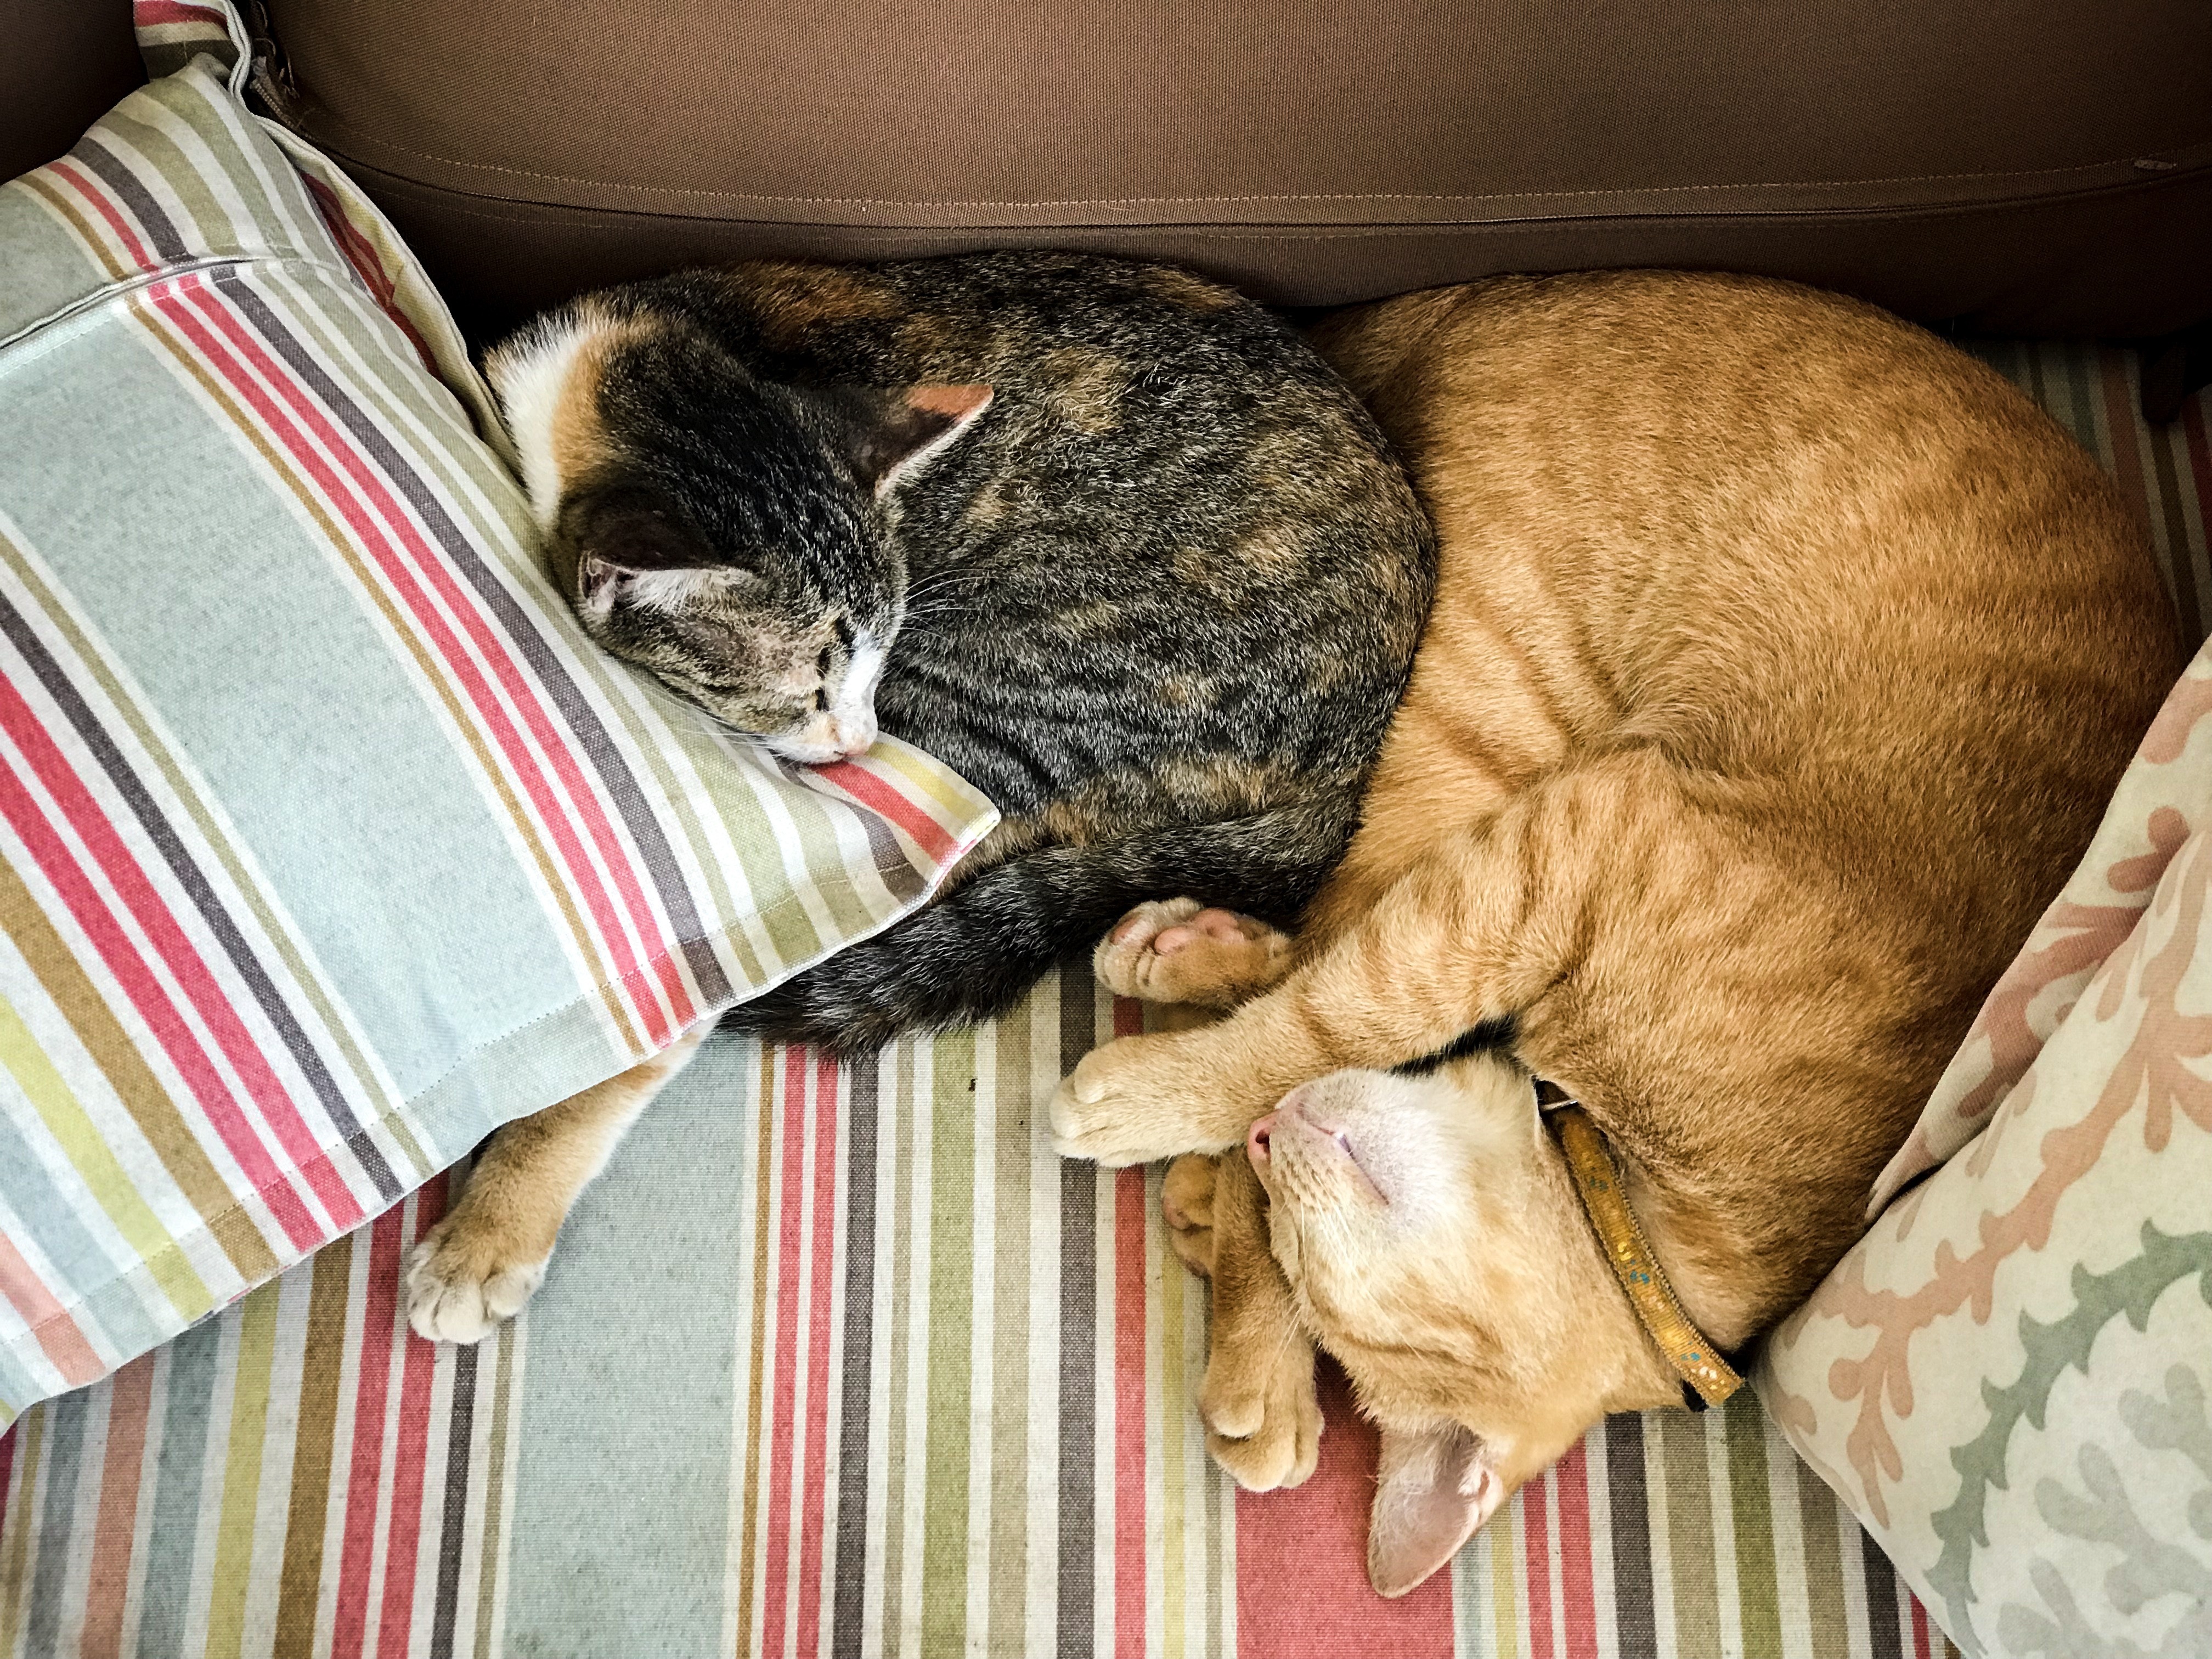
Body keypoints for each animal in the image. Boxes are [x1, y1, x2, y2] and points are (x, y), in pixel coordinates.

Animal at [404, 250, 1424, 1353]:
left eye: (873, 656)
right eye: (808, 683)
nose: (856, 737)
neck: (650, 343)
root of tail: (1358, 745)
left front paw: (488, 1231)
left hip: (1005, 707)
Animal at [1048, 269, 2176, 1601]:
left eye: (1341, 1292)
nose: (1275, 1141)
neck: (1649, 1189)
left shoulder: (1552, 857)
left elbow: (1333, 1005)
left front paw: (1192, 1122)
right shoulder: (1574, 842)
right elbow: (1348, 1000)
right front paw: (1189, 1093)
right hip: (1477, 710)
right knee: (1344, 908)